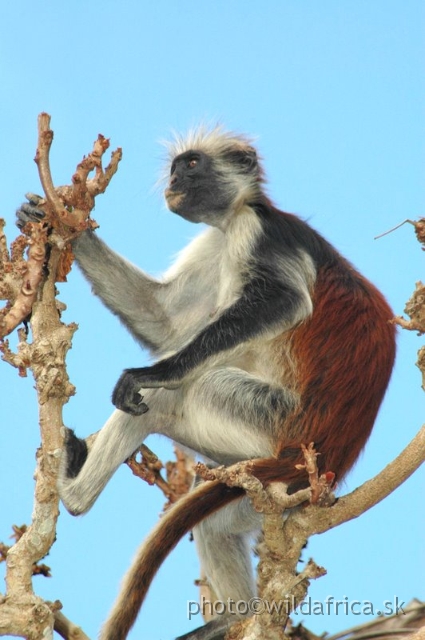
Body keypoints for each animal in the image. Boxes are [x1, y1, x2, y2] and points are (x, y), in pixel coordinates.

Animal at [15, 126, 394, 640]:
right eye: (177, 167)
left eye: (191, 165)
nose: (174, 181)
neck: (234, 219)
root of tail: (329, 454)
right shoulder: (218, 243)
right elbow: (164, 321)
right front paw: (55, 221)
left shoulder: (258, 233)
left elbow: (282, 302)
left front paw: (154, 371)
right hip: (265, 483)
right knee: (217, 524)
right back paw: (237, 618)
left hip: (266, 419)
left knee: (161, 401)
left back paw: (74, 492)